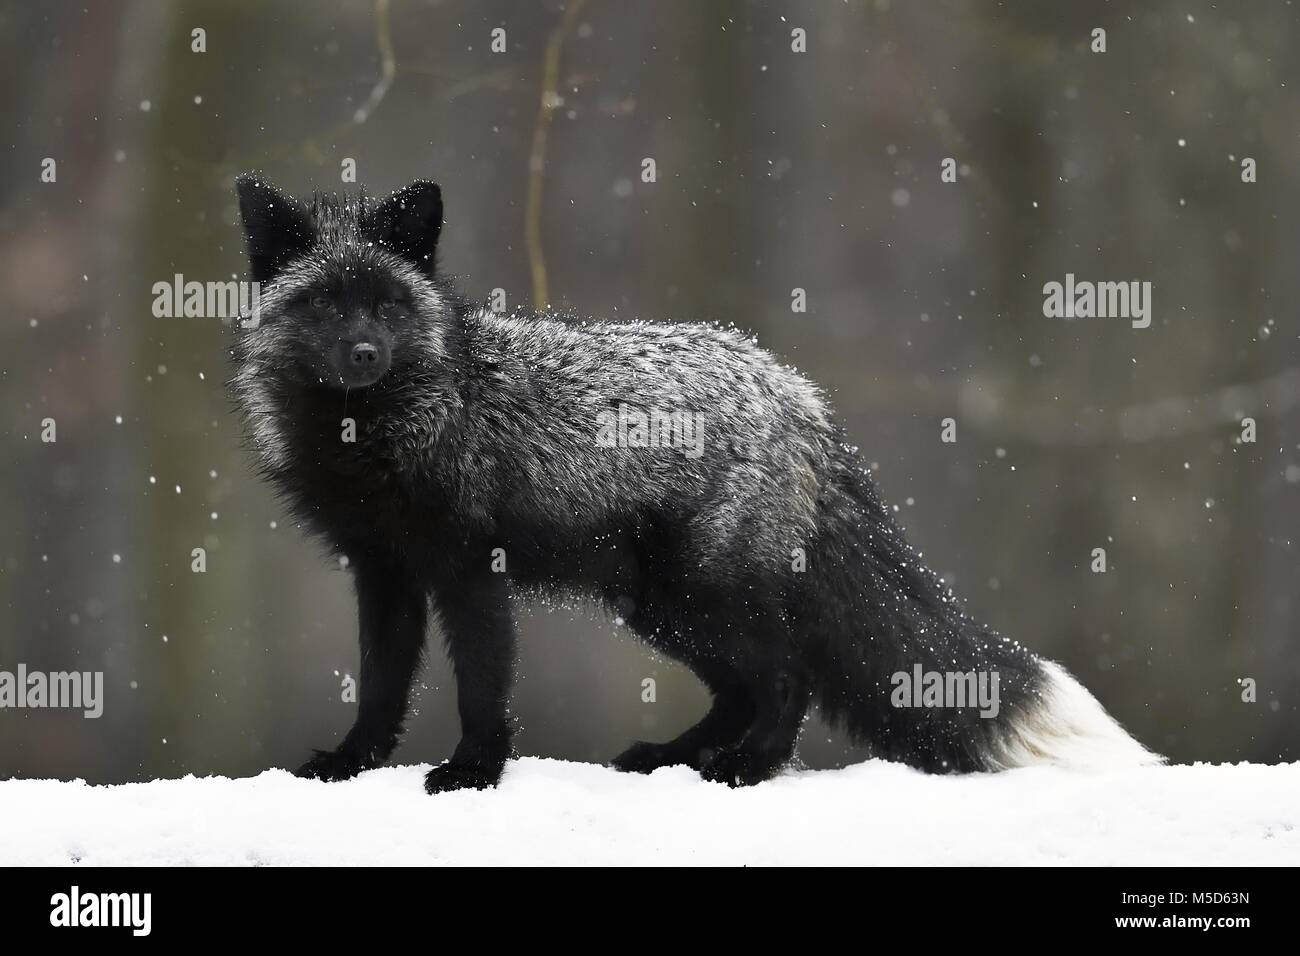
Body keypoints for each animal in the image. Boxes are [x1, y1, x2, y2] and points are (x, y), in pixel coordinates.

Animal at [229, 173, 1161, 793]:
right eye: (326, 306)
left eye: (387, 306)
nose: (362, 354)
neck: (377, 436)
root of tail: (802, 397)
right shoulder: (381, 570)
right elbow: (380, 686)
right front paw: (351, 763)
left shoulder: (467, 569)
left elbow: (482, 687)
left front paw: (473, 772)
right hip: (660, 606)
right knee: (741, 688)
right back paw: (679, 757)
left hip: (698, 594)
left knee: (788, 675)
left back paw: (748, 768)